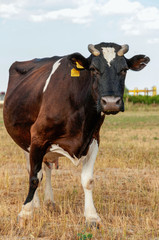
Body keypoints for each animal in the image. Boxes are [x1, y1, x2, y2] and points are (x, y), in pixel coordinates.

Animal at [2, 42, 150, 226]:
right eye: (93, 69)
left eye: (124, 69)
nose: (110, 102)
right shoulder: (37, 137)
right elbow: (34, 177)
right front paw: (25, 213)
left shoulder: (93, 139)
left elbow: (88, 180)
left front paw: (92, 216)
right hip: (25, 142)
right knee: (32, 170)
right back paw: (35, 204)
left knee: (47, 168)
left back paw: (49, 202)